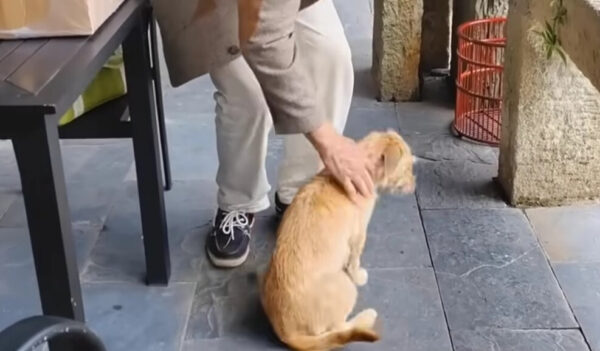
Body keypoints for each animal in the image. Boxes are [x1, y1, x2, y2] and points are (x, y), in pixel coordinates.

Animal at [262, 131, 418, 350]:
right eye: (408, 168)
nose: (415, 184)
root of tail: (288, 334)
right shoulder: (359, 233)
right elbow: (354, 260)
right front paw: (359, 275)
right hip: (345, 286)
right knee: (340, 329)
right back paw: (366, 316)